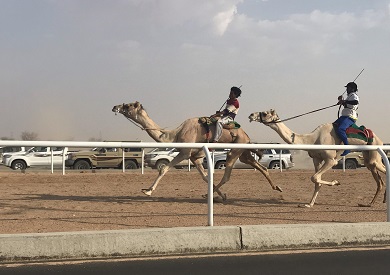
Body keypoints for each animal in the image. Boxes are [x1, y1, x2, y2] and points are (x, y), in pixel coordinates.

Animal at [111, 101, 282, 201]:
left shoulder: (185, 153)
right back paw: (277, 187)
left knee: (228, 174)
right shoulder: (195, 157)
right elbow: (206, 177)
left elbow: (164, 168)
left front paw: (148, 191)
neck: (174, 135)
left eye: (128, 105)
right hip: (243, 153)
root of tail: (246, 135)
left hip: (234, 151)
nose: (115, 106)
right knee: (261, 166)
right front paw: (220, 194)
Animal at [248, 109, 386, 208]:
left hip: (374, 152)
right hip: (368, 157)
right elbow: (316, 181)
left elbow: (315, 178)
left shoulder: (331, 160)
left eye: (265, 113)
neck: (312, 139)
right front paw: (309, 204)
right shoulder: (316, 159)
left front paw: (336, 182)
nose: (251, 115)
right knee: (378, 179)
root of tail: (379, 139)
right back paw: (369, 203)